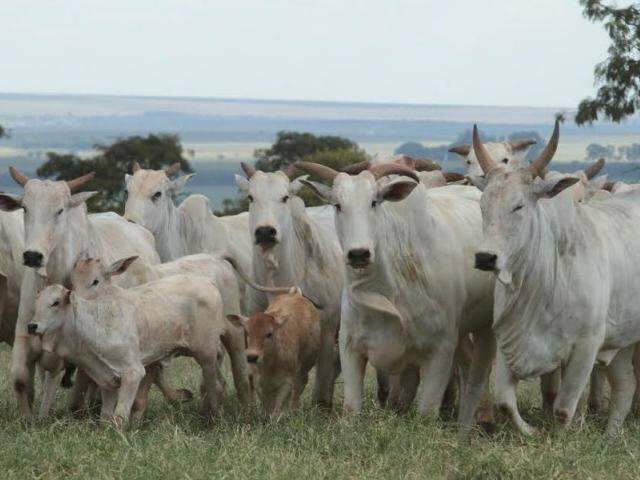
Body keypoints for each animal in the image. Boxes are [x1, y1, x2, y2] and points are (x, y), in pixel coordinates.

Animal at [298, 159, 498, 434]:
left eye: (374, 202)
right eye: (338, 205)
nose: (358, 254)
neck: (385, 288)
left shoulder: (440, 349)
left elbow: (426, 413)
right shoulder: (350, 348)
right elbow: (352, 408)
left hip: (484, 329)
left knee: (479, 374)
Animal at [472, 118, 640, 434]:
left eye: (519, 205)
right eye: (483, 205)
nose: (485, 257)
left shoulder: (587, 345)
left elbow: (563, 409)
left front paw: (560, 435)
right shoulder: (508, 340)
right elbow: (505, 401)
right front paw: (531, 432)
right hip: (623, 340)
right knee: (625, 386)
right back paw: (610, 436)